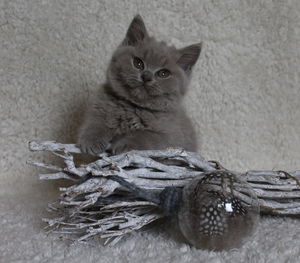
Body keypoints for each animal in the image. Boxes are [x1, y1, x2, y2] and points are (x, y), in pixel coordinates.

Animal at [78, 14, 202, 155]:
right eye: (138, 63)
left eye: (163, 73)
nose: (146, 76)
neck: (133, 107)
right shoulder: (98, 108)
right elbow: (95, 123)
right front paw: (91, 140)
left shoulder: (172, 137)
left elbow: (145, 135)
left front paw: (125, 145)